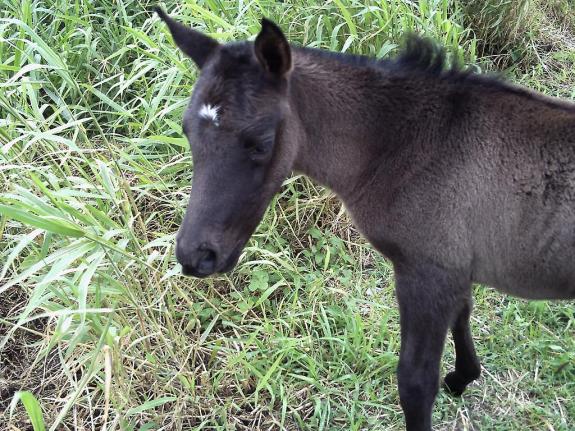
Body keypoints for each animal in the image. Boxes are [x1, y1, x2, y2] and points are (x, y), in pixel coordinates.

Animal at [156, 8, 575, 430]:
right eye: (186, 131)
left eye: (260, 142)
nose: (196, 256)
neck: (408, 145)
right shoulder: (453, 266)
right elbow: (462, 313)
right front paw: (463, 376)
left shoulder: (427, 273)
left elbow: (416, 384)